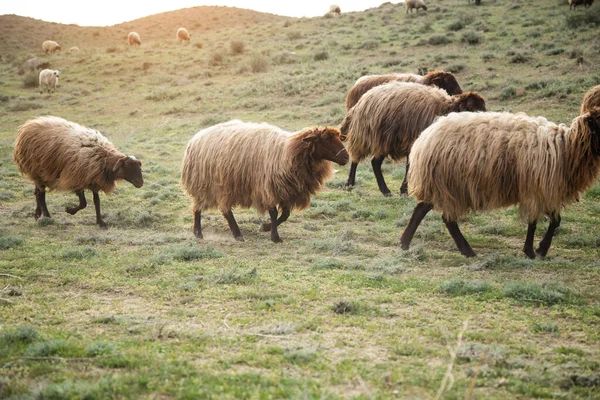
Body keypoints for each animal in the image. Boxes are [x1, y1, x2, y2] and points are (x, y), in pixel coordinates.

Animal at [12, 115, 144, 228]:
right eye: (127, 166)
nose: (141, 183)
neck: (103, 157)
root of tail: (28, 126)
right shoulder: (77, 178)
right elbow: (83, 203)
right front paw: (70, 210)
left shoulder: (94, 180)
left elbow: (96, 201)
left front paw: (100, 222)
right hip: (37, 170)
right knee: (41, 194)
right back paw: (47, 216)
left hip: (38, 173)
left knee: (37, 192)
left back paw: (37, 214)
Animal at [180, 120, 350, 242]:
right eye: (326, 139)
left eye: (339, 138)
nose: (346, 157)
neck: (287, 152)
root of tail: (195, 138)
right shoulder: (267, 187)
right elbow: (274, 213)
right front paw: (275, 237)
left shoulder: (287, 190)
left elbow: (285, 215)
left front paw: (265, 227)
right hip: (213, 183)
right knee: (222, 209)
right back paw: (232, 234)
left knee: (199, 206)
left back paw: (199, 232)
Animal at [340, 82, 486, 197]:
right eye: (471, 109)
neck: (445, 110)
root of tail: (361, 102)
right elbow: (409, 167)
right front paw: (405, 191)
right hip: (371, 136)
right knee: (357, 158)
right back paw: (351, 183)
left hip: (383, 140)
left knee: (374, 163)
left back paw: (384, 190)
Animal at [400, 108, 600, 260]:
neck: (566, 148)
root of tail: (424, 137)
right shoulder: (537, 190)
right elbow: (535, 222)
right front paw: (533, 251)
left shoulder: (544, 191)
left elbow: (554, 221)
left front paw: (538, 250)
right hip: (448, 185)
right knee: (444, 218)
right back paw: (467, 251)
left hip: (442, 185)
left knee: (425, 210)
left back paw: (406, 243)